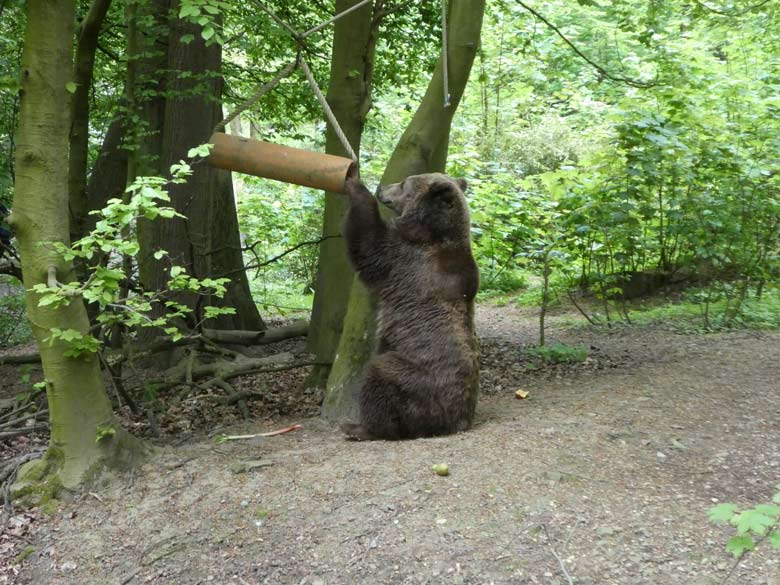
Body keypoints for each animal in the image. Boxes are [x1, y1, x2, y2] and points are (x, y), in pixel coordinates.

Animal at [342, 171, 482, 440]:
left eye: (404, 182)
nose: (382, 188)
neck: (430, 231)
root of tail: (457, 422)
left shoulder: (407, 260)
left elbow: (369, 247)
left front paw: (355, 183)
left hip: (416, 380)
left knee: (380, 376)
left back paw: (360, 427)